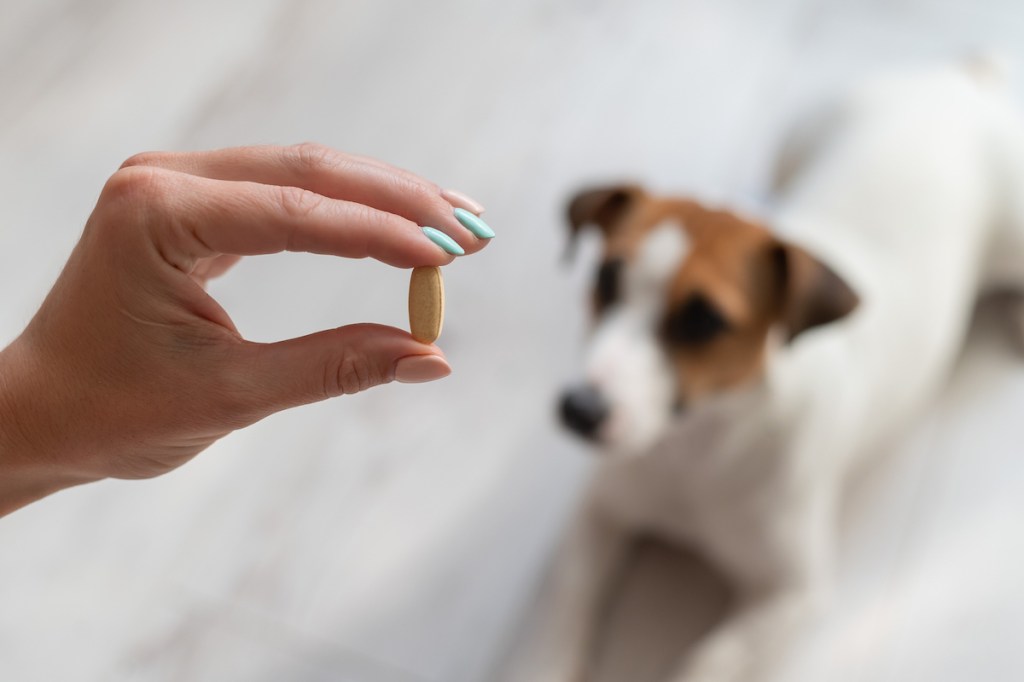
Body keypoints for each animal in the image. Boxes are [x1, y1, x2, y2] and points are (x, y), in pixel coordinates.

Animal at [512, 59, 1024, 679]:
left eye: (704, 320)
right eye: (605, 280)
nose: (578, 410)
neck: (696, 447)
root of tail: (957, 79)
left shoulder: (789, 595)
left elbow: (712, 660)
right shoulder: (596, 518)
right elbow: (563, 611)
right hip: (794, 140)